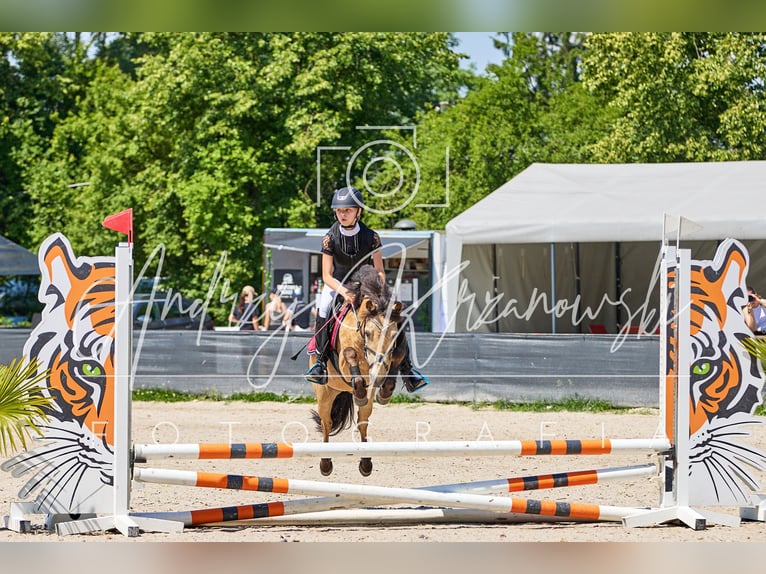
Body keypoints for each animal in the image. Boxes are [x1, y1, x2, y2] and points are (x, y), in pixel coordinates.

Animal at [312, 268, 408, 480]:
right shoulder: (343, 360)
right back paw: (325, 464)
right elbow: (350, 354)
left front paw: (385, 391)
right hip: (325, 393)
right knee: (326, 423)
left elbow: (399, 353)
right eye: (369, 333)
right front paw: (361, 389)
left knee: (363, 422)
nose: (378, 376)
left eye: (394, 335)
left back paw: (365, 463)